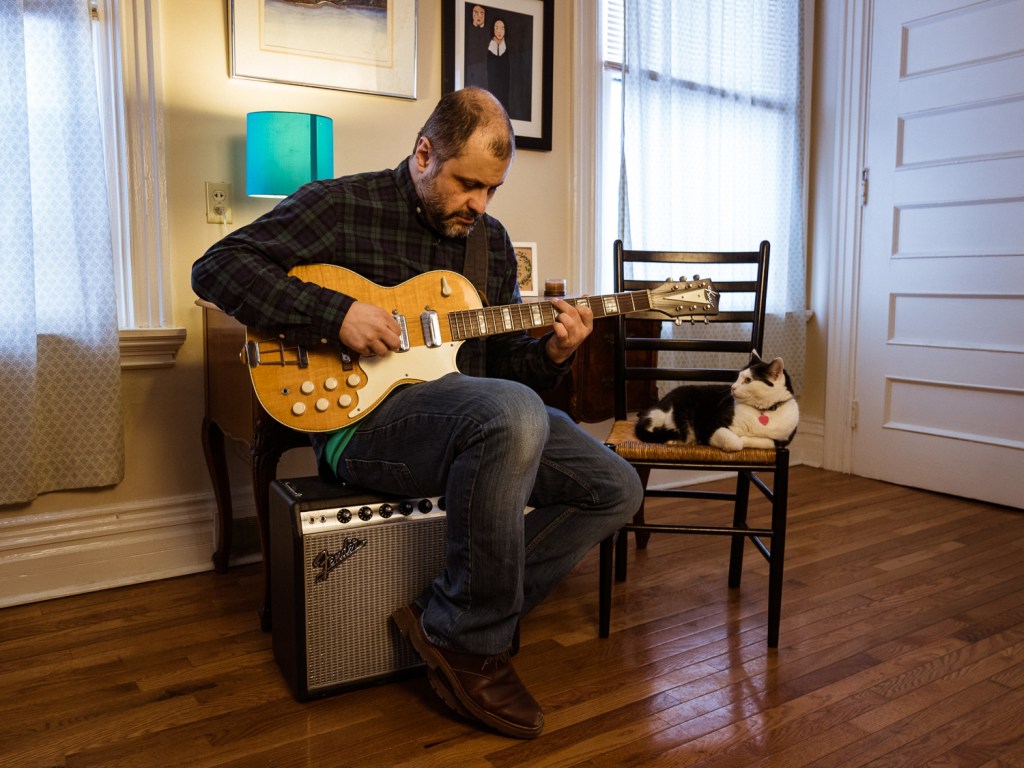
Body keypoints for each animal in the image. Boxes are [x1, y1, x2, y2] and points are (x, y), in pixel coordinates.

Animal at [635, 351, 799, 452]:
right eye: (738, 377)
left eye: (748, 380)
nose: (732, 387)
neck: (762, 410)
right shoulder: (709, 425)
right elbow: (734, 442)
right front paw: (736, 440)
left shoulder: (782, 440)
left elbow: (765, 441)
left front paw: (746, 438)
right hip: (674, 409)